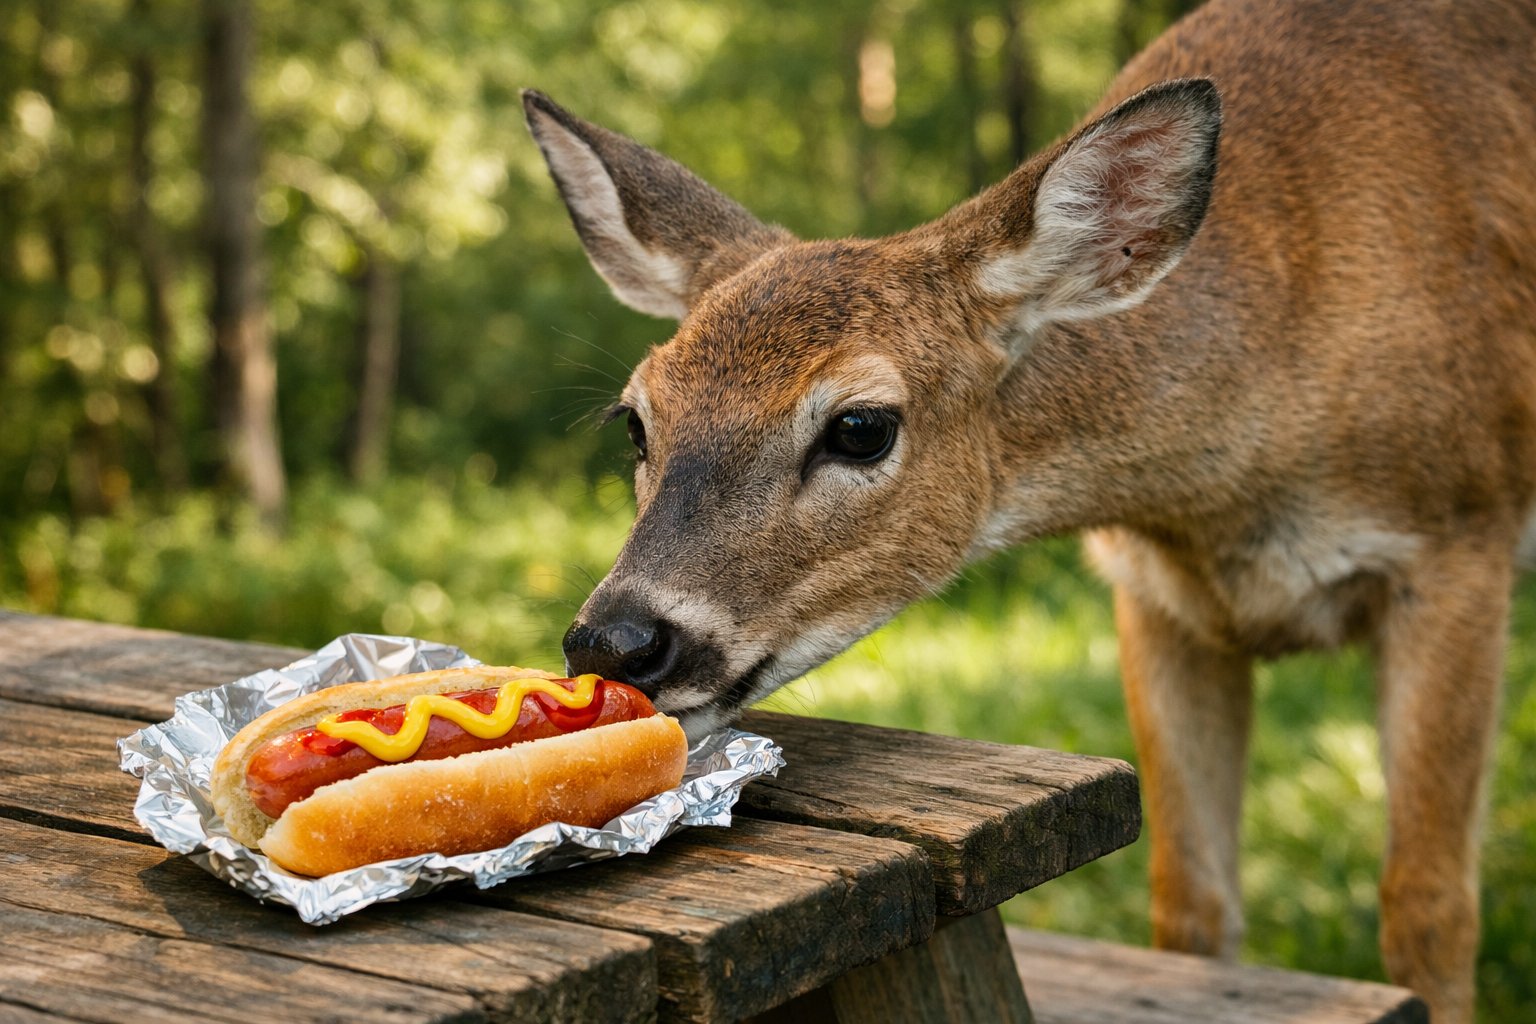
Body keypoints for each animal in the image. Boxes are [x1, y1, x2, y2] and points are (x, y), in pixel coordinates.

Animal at [522, 0, 1536, 1019]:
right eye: (636, 420)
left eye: (860, 427)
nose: (615, 641)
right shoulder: (1154, 594)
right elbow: (1189, 904)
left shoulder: (1459, 540)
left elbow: (1429, 908)